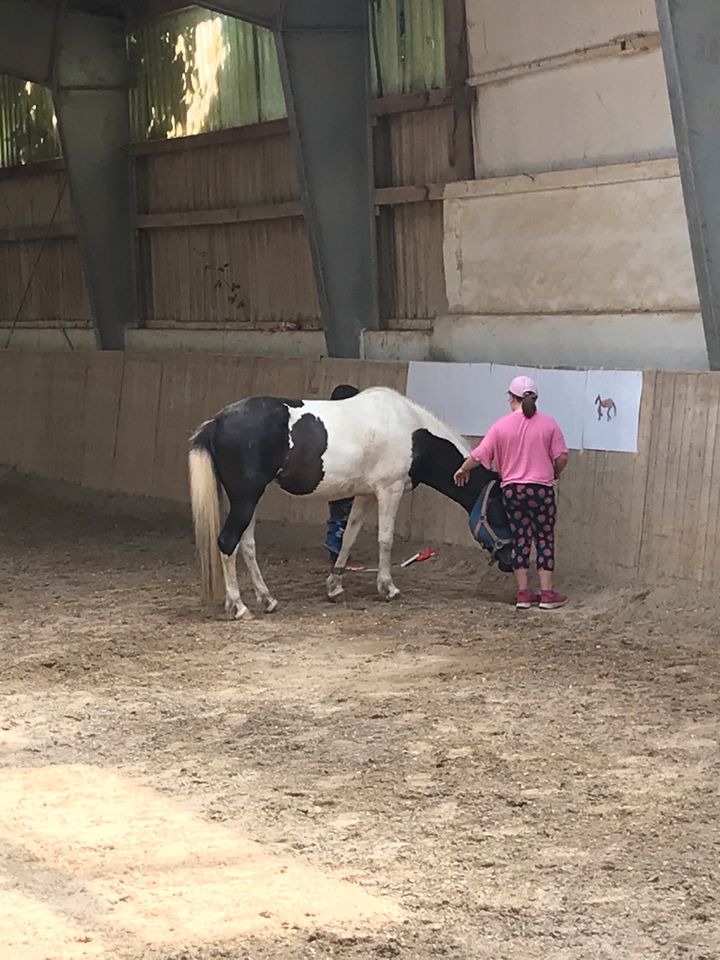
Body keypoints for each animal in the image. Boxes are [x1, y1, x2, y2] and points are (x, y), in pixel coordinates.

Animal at [188, 386, 510, 620]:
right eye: (499, 513)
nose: (509, 561)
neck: (412, 431)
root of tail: (216, 422)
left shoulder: (365, 494)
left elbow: (349, 536)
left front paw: (335, 586)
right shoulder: (389, 490)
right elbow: (385, 539)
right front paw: (388, 587)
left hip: (248, 499)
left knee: (247, 545)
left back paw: (267, 599)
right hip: (246, 498)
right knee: (228, 542)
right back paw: (238, 606)